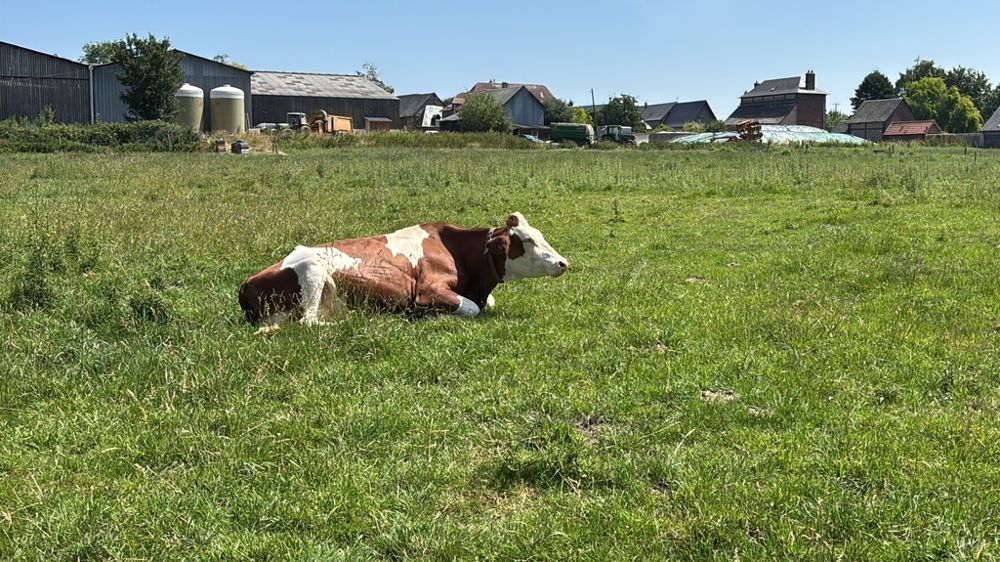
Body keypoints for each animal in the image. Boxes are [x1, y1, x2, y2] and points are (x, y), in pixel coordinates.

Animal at [238, 212, 568, 330]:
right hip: (313, 270)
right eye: (527, 241)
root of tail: (246, 283)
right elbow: (472, 309)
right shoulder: (428, 291)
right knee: (308, 322)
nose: (563, 262)